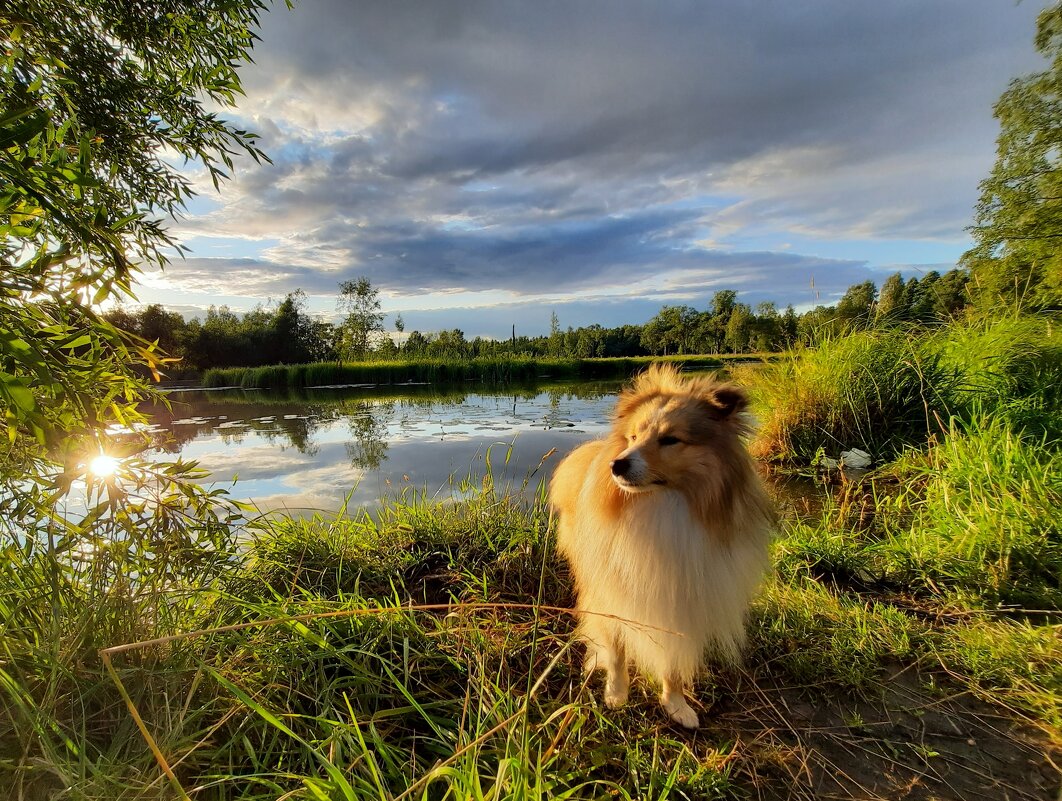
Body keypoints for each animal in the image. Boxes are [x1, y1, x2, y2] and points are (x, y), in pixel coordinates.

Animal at [547, 365, 773, 726]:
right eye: (633, 437)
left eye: (670, 440)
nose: (617, 464)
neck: (661, 504)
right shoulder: (612, 593)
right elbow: (616, 651)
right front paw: (616, 694)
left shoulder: (681, 605)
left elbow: (673, 661)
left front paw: (676, 704)